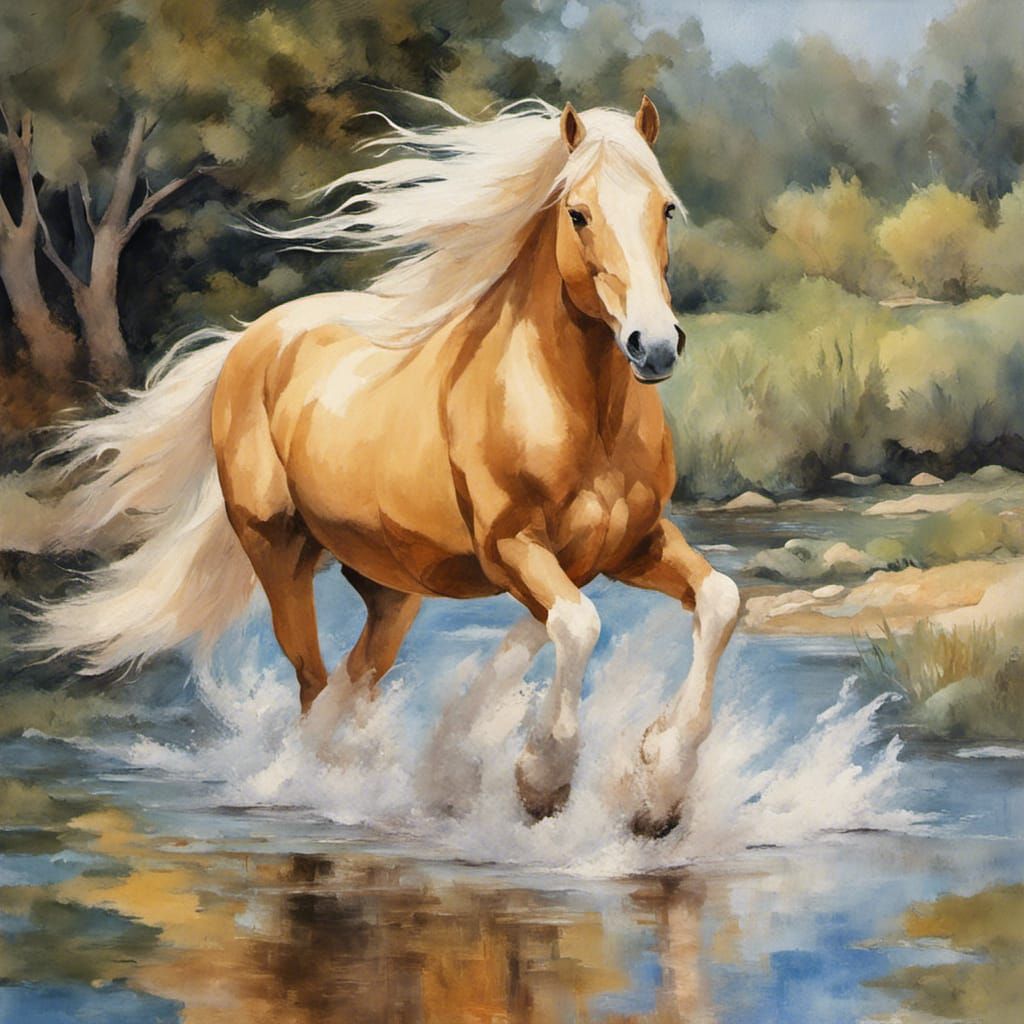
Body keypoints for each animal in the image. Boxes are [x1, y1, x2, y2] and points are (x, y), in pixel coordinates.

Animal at [27, 96, 740, 838]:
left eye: (665, 208)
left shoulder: (631, 544)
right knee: (314, 683)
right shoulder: (512, 548)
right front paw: (542, 780)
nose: (654, 345)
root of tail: (251, 340)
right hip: (279, 552)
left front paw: (657, 788)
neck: (579, 410)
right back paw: (320, 785)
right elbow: (578, 626)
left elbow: (716, 602)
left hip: (389, 587)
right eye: (578, 213)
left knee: (356, 676)